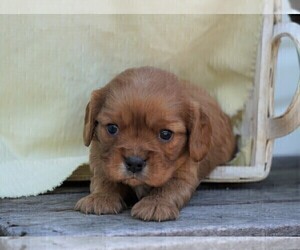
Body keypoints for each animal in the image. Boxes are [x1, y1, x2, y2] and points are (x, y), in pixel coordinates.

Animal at [74, 66, 234, 221]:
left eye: (165, 134)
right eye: (112, 128)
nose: (134, 163)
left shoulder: (185, 173)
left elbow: (169, 187)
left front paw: (155, 204)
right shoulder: (100, 158)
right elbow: (104, 179)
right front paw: (100, 197)